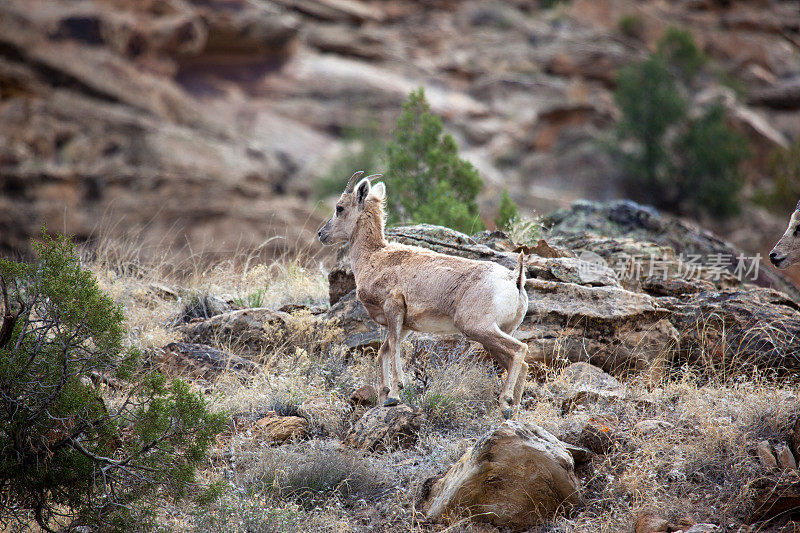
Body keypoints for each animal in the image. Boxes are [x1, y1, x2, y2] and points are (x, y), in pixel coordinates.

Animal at [318, 172, 532, 418]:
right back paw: (512, 411)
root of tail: (515, 279)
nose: (321, 234)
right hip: (494, 335)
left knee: (520, 350)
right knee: (522, 363)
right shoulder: (405, 325)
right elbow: (384, 351)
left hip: (479, 328)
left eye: (340, 208)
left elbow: (393, 349)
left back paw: (505, 403)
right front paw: (383, 397)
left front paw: (394, 395)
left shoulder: (394, 311)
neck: (373, 259)